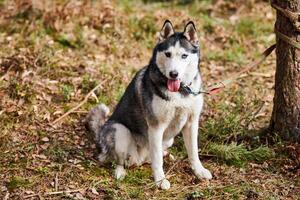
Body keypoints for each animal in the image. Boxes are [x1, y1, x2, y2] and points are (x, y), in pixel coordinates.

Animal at [84, 19, 211, 189]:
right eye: (168, 54)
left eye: (184, 55)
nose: (173, 74)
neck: (180, 92)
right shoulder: (156, 126)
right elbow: (157, 160)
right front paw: (160, 180)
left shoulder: (191, 123)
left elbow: (193, 153)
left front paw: (199, 171)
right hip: (120, 130)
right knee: (120, 161)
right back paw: (120, 172)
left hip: (167, 140)